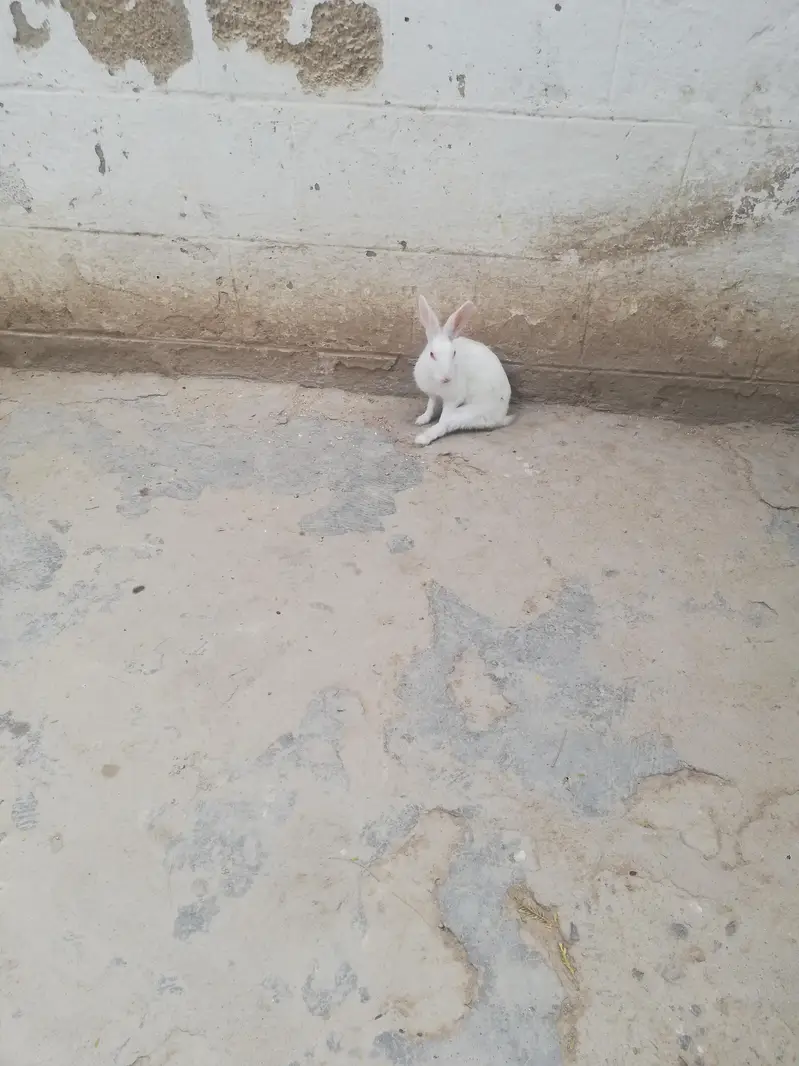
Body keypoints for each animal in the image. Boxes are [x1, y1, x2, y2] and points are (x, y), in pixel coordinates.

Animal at [412, 295, 513, 446]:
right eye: (431, 354)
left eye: (453, 353)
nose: (447, 378)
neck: (436, 379)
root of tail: (501, 417)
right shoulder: (433, 395)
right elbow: (431, 406)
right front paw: (422, 419)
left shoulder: (452, 400)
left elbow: (444, 418)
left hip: (468, 412)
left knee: (446, 424)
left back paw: (422, 439)